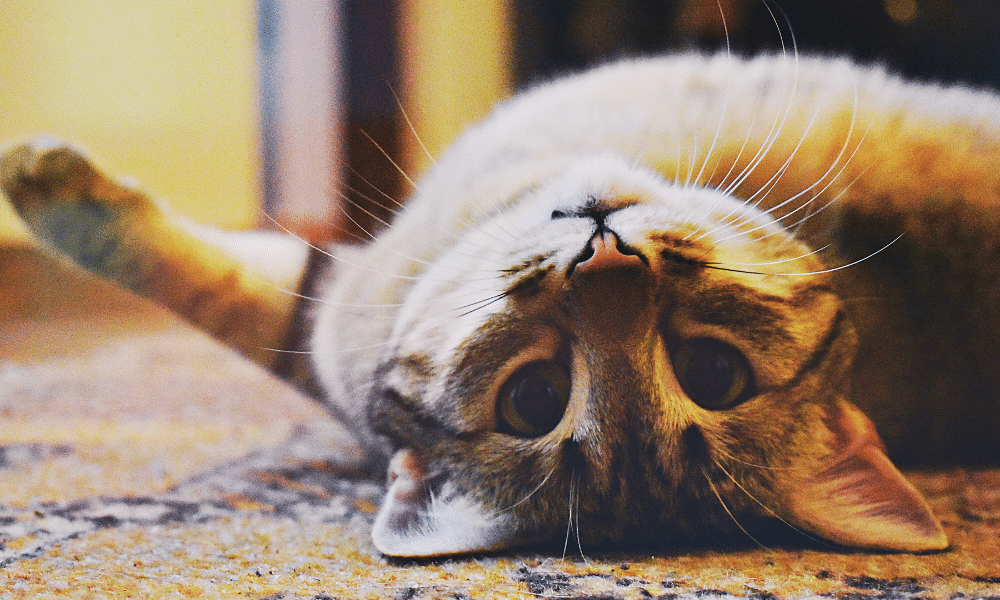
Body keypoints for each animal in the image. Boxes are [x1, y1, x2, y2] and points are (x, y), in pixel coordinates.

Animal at [1, 51, 1000, 556]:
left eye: (711, 373)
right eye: (533, 399)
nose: (605, 258)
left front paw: (37, 175)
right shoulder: (330, 310)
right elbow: (223, 287)